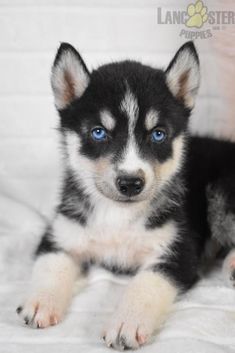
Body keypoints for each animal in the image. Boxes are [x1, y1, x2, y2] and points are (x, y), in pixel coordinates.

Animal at [17, 41, 235, 350]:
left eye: (158, 134)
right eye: (98, 132)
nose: (131, 183)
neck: (117, 213)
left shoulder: (178, 252)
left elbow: (146, 284)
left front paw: (127, 322)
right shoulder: (61, 234)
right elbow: (51, 263)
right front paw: (41, 302)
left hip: (221, 193)